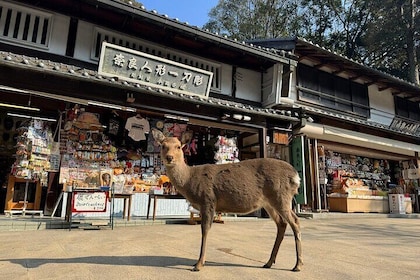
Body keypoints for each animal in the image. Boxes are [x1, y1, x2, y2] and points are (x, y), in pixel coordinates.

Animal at [153, 129, 304, 272]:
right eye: (163, 146)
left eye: (178, 146)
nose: (169, 157)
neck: (189, 180)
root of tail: (296, 176)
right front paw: (199, 262)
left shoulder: (208, 200)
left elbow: (205, 230)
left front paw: (199, 264)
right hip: (269, 202)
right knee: (282, 223)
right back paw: (269, 262)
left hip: (281, 196)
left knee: (295, 221)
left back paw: (298, 265)